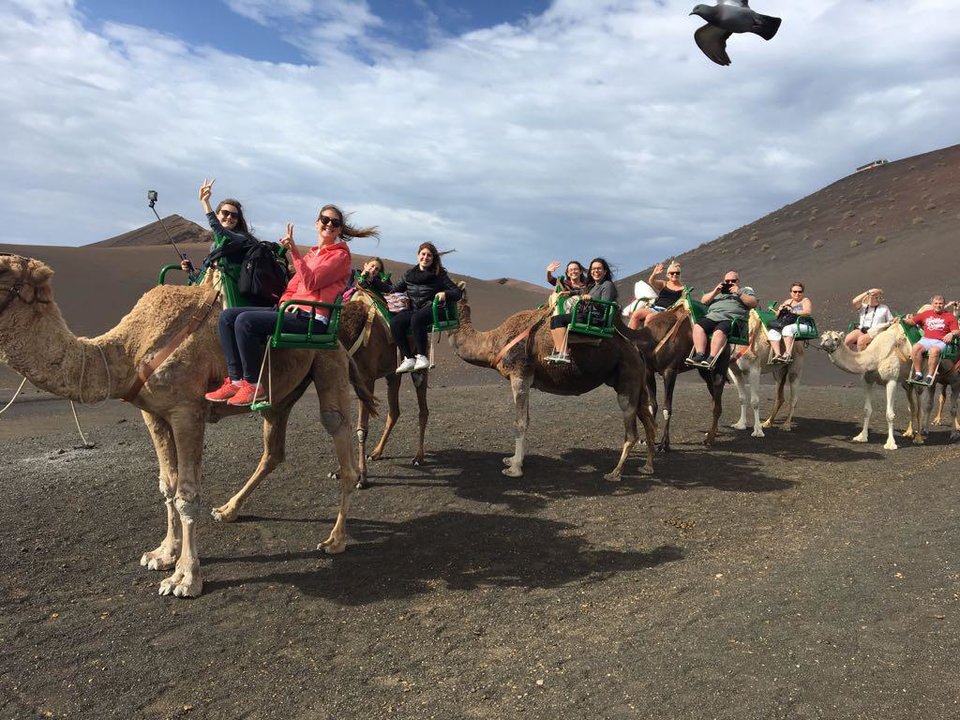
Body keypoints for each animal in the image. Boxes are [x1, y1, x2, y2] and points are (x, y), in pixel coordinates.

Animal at [0, 253, 366, 596]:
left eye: (3, 269)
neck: (129, 350)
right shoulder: (153, 413)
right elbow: (167, 485)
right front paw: (162, 554)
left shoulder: (187, 411)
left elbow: (186, 493)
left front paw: (186, 578)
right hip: (281, 394)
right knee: (273, 449)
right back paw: (228, 510)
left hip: (329, 361)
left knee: (336, 428)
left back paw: (335, 539)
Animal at [446, 286, 656, 478]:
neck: (493, 342)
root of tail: (637, 351)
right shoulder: (526, 380)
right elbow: (526, 419)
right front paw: (513, 460)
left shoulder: (520, 374)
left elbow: (520, 422)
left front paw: (514, 469)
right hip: (633, 384)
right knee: (648, 422)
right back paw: (647, 467)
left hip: (628, 380)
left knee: (632, 432)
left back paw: (615, 473)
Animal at [632, 300, 732, 448]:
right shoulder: (649, 371)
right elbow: (652, 405)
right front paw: (647, 439)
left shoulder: (670, 371)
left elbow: (667, 408)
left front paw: (664, 444)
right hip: (705, 371)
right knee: (714, 398)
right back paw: (713, 432)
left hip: (720, 365)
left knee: (717, 399)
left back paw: (710, 439)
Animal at [732, 310, 808, 438]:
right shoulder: (734, 370)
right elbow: (742, 398)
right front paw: (740, 424)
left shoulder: (754, 369)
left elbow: (755, 401)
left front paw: (757, 431)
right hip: (778, 371)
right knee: (779, 397)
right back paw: (768, 422)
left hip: (796, 368)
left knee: (793, 398)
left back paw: (786, 425)